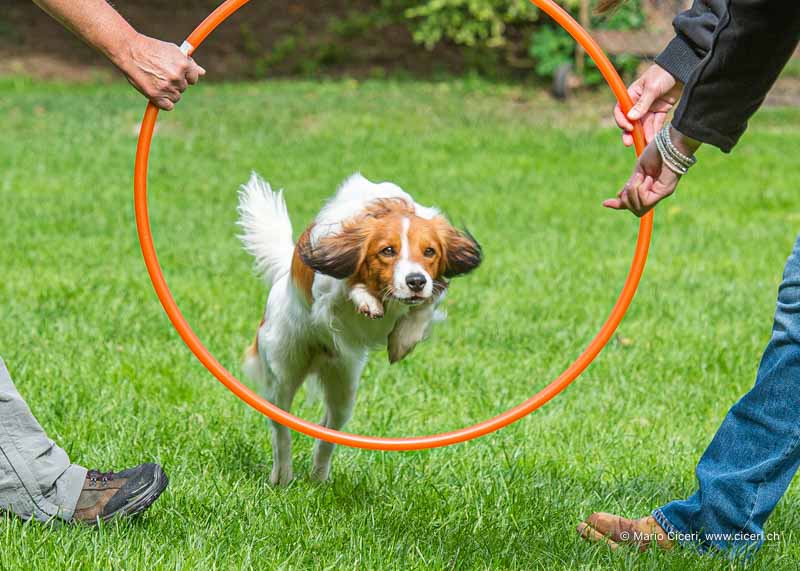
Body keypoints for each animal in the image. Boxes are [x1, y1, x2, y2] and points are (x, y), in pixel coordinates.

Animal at [234, 172, 478, 484]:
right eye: (387, 251)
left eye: (429, 252)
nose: (415, 281)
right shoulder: (325, 287)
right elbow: (345, 287)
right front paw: (367, 301)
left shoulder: (431, 291)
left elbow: (424, 307)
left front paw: (403, 340)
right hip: (282, 375)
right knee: (281, 432)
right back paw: (283, 476)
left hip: (344, 388)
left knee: (326, 432)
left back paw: (319, 478)